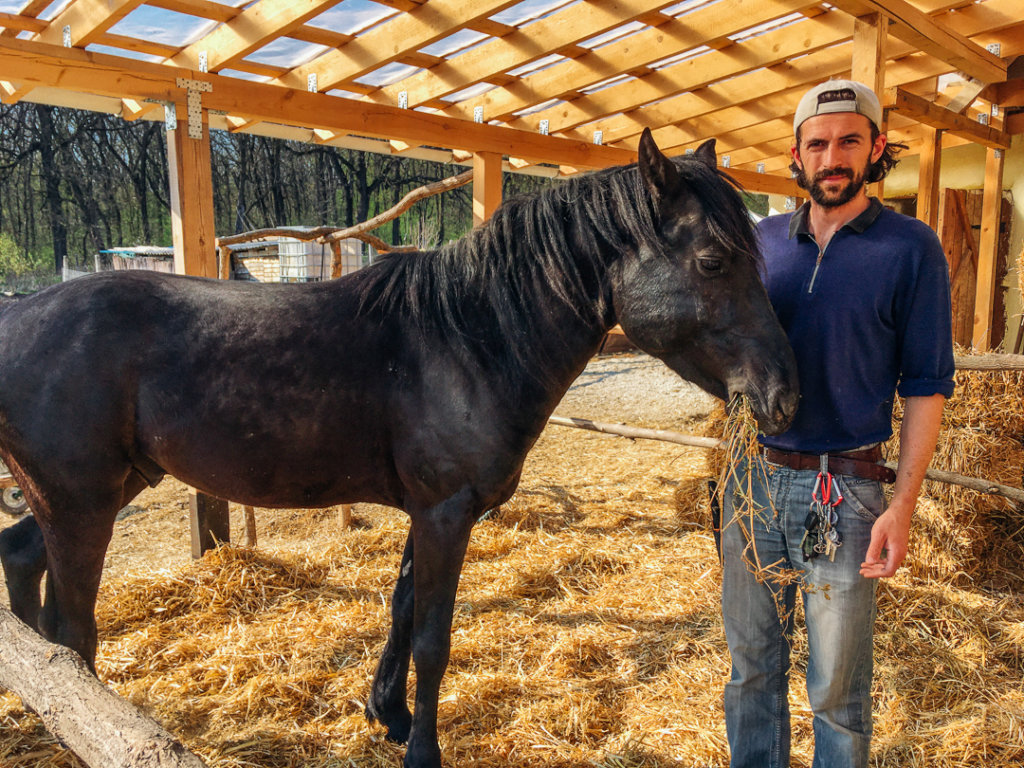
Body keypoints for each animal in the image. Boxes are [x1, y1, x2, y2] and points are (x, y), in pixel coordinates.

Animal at [0, 129, 797, 768]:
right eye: (714, 261)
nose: (784, 394)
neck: (468, 337)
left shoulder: (430, 512)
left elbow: (401, 610)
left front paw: (388, 714)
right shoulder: (445, 513)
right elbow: (432, 639)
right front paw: (422, 749)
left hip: (103, 489)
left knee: (24, 569)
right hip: (81, 505)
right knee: (71, 638)